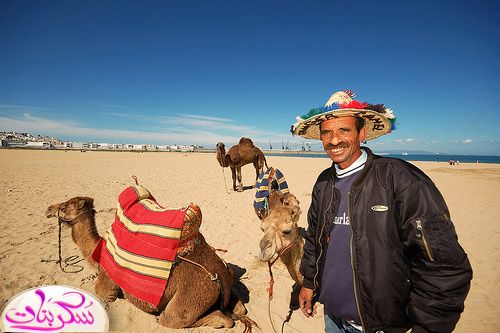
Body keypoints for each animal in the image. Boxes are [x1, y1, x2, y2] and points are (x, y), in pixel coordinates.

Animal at [45, 196, 250, 328]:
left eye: (64, 207)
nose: (48, 209)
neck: (98, 251)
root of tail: (219, 275)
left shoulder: (107, 285)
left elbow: (101, 292)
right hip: (224, 282)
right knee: (239, 308)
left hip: (192, 297)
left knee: (178, 319)